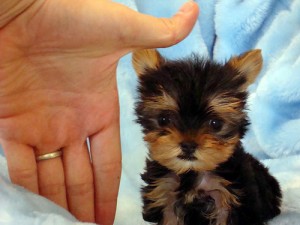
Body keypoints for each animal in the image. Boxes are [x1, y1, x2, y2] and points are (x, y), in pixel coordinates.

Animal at [132, 49, 282, 225]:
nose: (188, 145)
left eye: (216, 124)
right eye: (163, 120)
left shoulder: (228, 196)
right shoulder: (165, 192)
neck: (191, 172)